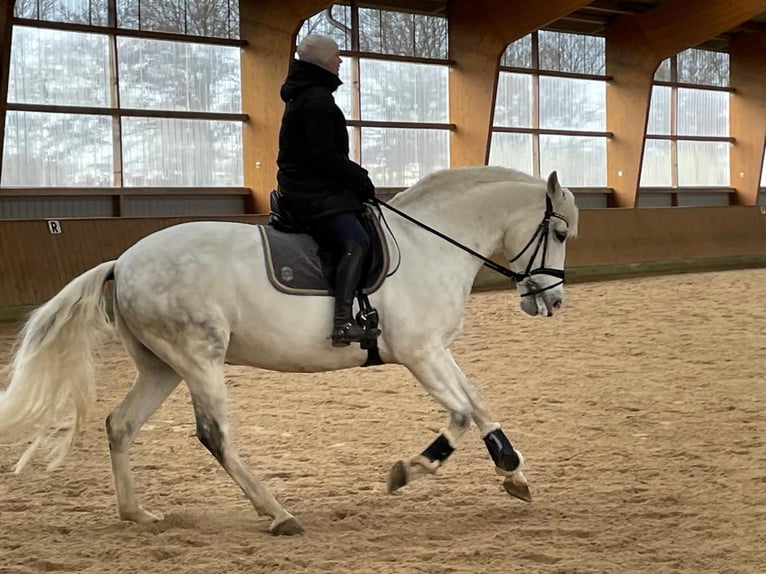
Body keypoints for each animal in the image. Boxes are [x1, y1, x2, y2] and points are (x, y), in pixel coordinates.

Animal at [0, 165, 576, 536]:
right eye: (561, 231)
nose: (551, 300)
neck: (427, 247)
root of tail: (122, 261)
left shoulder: (435, 350)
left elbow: (477, 402)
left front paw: (513, 472)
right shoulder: (419, 353)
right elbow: (458, 413)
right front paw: (409, 471)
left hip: (161, 366)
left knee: (120, 425)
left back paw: (137, 515)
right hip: (198, 358)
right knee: (214, 435)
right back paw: (278, 513)